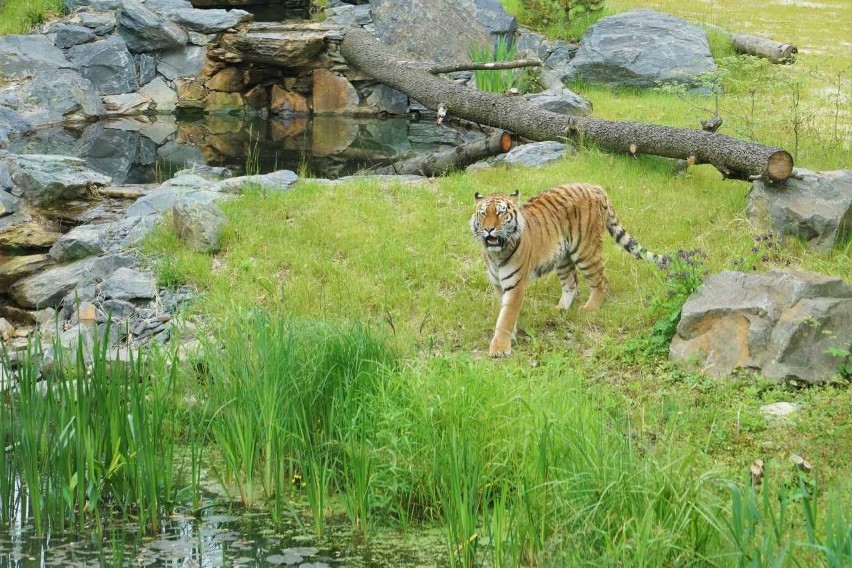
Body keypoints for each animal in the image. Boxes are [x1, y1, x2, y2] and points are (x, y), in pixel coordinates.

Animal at [472, 184, 664, 358]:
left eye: (500, 213)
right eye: (483, 213)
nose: (488, 229)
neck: (496, 254)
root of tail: (595, 187)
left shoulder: (515, 285)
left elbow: (506, 316)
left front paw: (500, 348)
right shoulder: (499, 285)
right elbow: (504, 312)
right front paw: (509, 337)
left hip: (585, 251)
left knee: (601, 281)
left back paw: (589, 308)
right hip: (562, 258)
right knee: (572, 283)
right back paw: (560, 309)